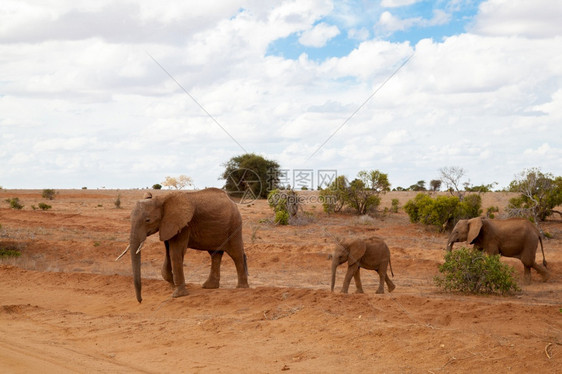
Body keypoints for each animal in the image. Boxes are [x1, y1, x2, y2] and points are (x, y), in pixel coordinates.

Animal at [116, 188, 247, 302]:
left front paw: (178, 295)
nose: (140, 300)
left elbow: (176, 252)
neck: (161, 199)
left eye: (148, 220)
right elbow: (168, 253)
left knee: (236, 254)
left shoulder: (184, 225)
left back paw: (241, 288)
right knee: (215, 254)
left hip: (234, 225)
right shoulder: (168, 225)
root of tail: (232, 201)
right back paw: (209, 287)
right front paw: (172, 287)